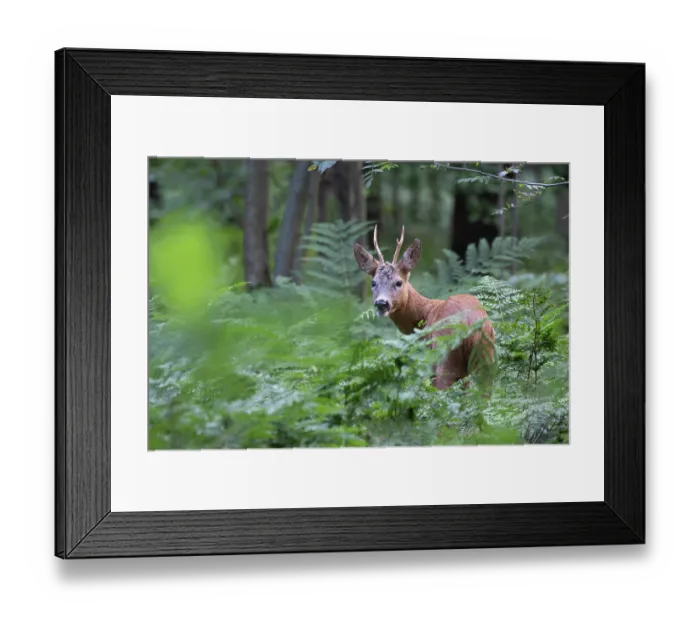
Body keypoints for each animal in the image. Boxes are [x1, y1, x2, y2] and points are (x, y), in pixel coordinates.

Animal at [354, 225, 496, 390]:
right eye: (373, 282)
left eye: (398, 282)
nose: (382, 303)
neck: (425, 313)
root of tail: (471, 324)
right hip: (486, 358)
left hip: (445, 355)